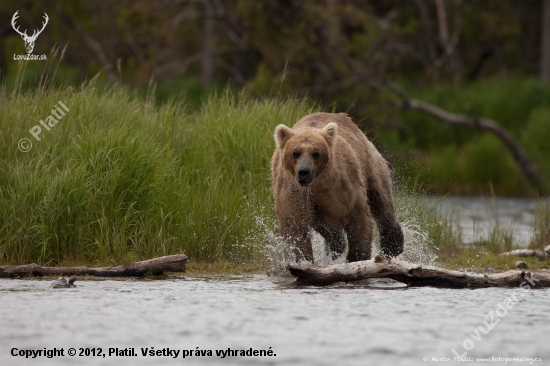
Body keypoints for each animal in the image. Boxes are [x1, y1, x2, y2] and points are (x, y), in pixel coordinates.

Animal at [272, 111, 406, 264]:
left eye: (316, 153)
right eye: (296, 152)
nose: (304, 171)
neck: (316, 185)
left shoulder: (341, 187)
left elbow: (357, 218)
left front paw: (357, 258)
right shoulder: (293, 193)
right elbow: (295, 227)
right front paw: (302, 259)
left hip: (369, 163)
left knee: (381, 198)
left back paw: (393, 245)